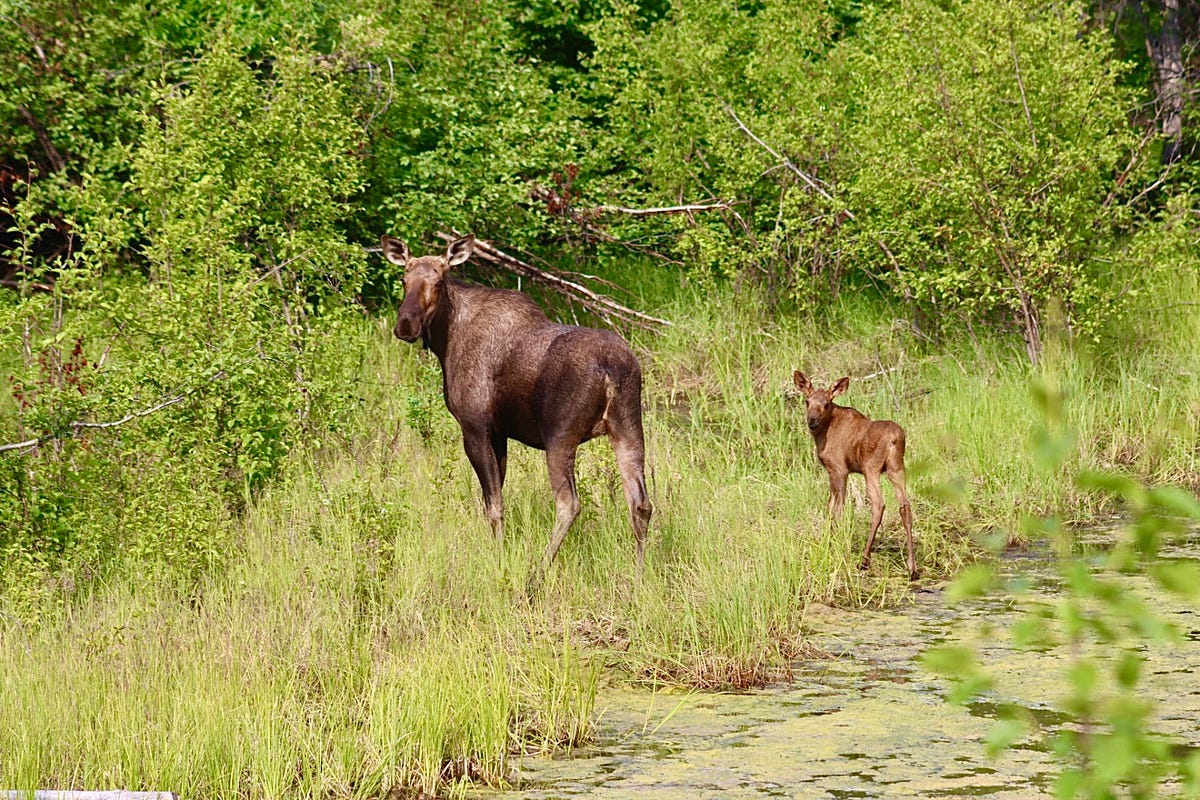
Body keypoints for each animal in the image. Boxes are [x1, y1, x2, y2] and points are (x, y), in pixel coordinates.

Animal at [792, 369, 912, 582]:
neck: (823, 433)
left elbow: (835, 509)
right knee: (905, 506)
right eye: (807, 401)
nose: (812, 422)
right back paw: (912, 567)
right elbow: (830, 507)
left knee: (879, 505)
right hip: (896, 467)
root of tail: (895, 438)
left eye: (826, 403)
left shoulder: (838, 469)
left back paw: (864, 560)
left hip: (871, 468)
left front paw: (833, 545)